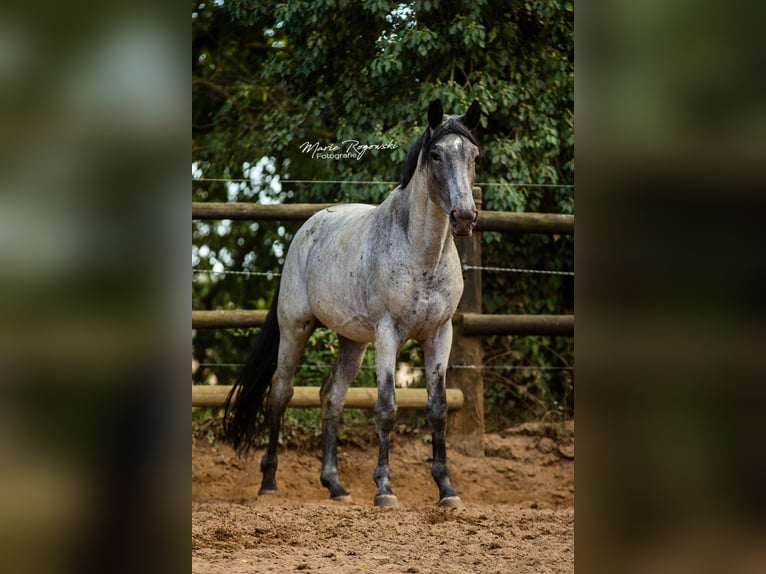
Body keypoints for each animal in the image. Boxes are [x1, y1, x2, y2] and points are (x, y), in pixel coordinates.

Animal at [222, 98, 484, 508]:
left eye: (474, 155)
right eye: (436, 154)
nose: (464, 216)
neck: (421, 254)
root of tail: (307, 229)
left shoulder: (440, 334)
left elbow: (438, 410)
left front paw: (447, 490)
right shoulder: (388, 334)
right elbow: (387, 409)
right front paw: (385, 490)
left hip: (352, 342)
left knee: (331, 397)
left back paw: (336, 486)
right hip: (295, 329)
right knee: (280, 393)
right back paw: (268, 483)